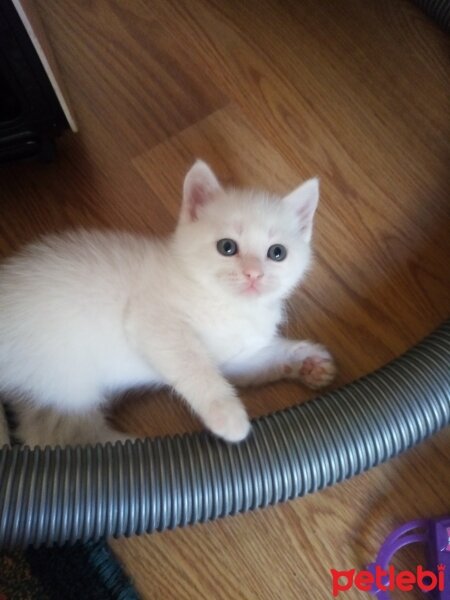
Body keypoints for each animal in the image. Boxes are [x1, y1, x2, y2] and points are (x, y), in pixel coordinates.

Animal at [0, 159, 336, 446]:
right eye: (227, 247)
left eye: (277, 252)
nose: (253, 274)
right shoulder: (151, 320)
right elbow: (194, 365)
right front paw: (227, 415)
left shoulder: (235, 358)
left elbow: (258, 362)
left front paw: (307, 361)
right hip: (66, 379)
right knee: (59, 436)